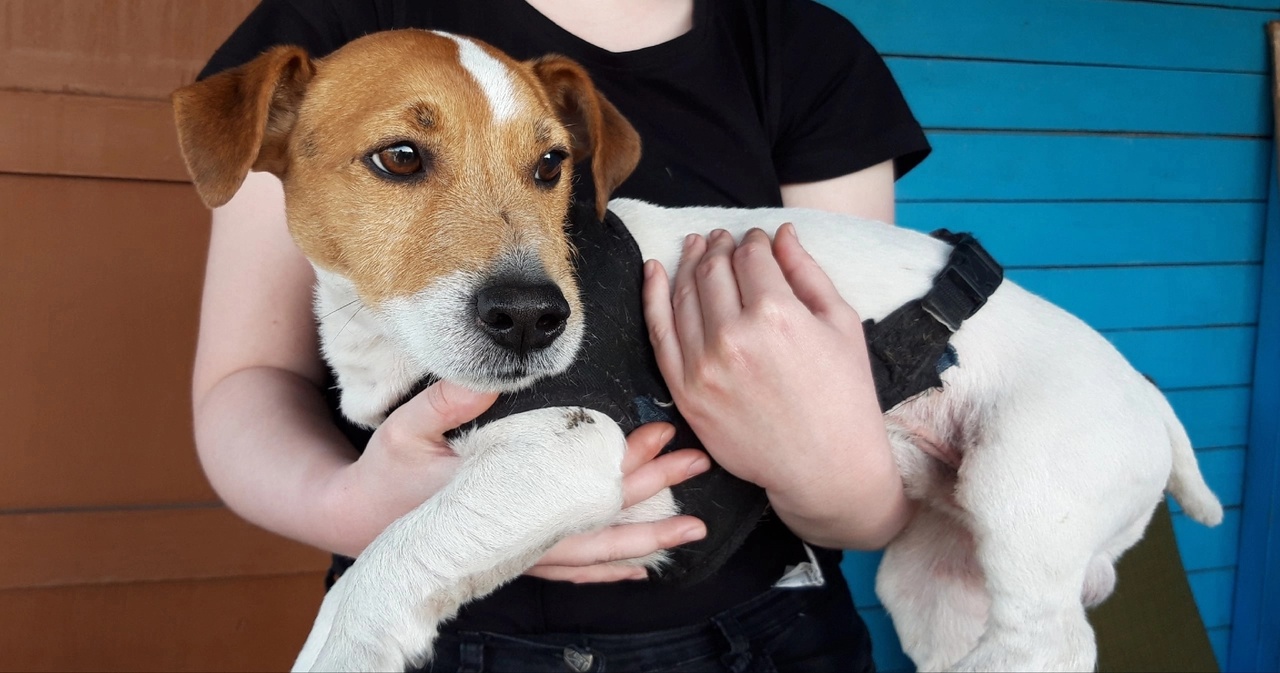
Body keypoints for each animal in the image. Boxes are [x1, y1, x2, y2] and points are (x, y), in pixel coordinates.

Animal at [170, 29, 1218, 673]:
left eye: (551, 165)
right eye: (398, 158)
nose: (536, 319)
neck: (382, 339)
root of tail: (1150, 396)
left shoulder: (569, 448)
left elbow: (381, 569)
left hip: (1024, 491)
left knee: (1053, 647)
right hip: (935, 578)